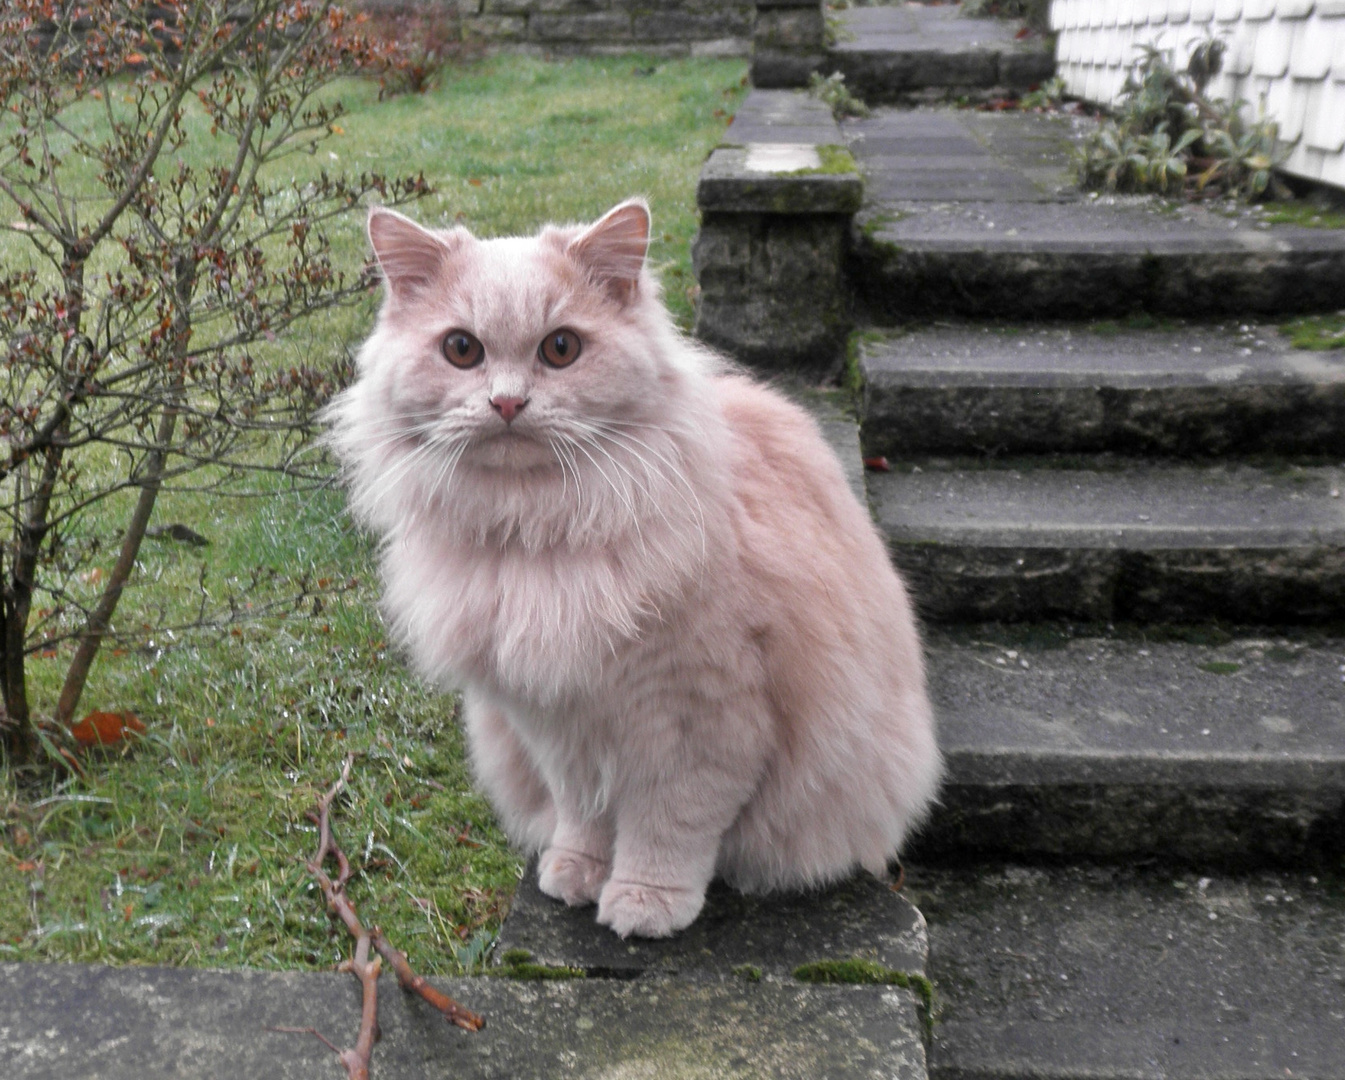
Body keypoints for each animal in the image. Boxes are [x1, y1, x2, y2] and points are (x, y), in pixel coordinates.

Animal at [326, 200, 941, 936]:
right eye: (462, 350)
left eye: (561, 349)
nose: (507, 404)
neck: (539, 532)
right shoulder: (557, 722)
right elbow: (584, 814)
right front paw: (576, 874)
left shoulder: (699, 719)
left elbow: (667, 827)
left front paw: (646, 904)